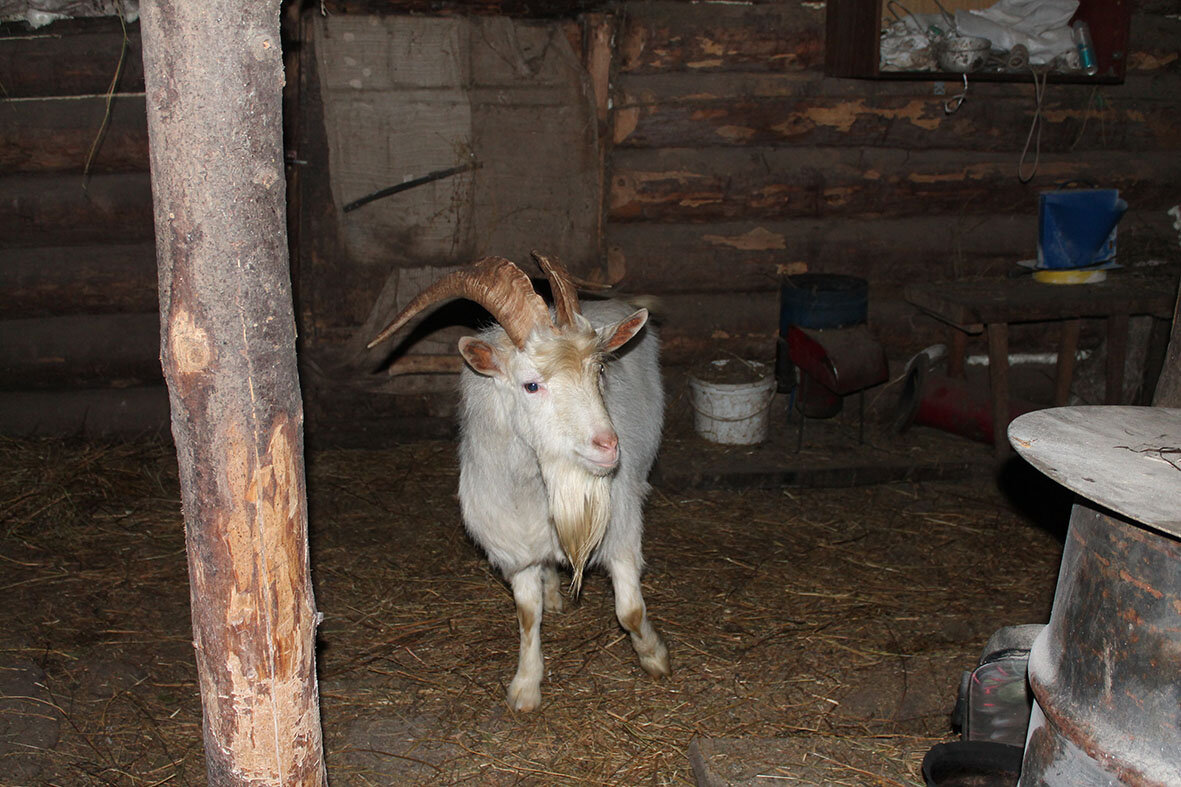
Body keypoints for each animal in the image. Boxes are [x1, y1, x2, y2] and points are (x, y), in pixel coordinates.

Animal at [363, 252, 670, 709]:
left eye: (599, 370)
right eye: (531, 385)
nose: (608, 446)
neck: (535, 489)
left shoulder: (621, 531)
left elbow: (629, 611)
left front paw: (654, 657)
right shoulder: (514, 546)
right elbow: (527, 615)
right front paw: (525, 687)